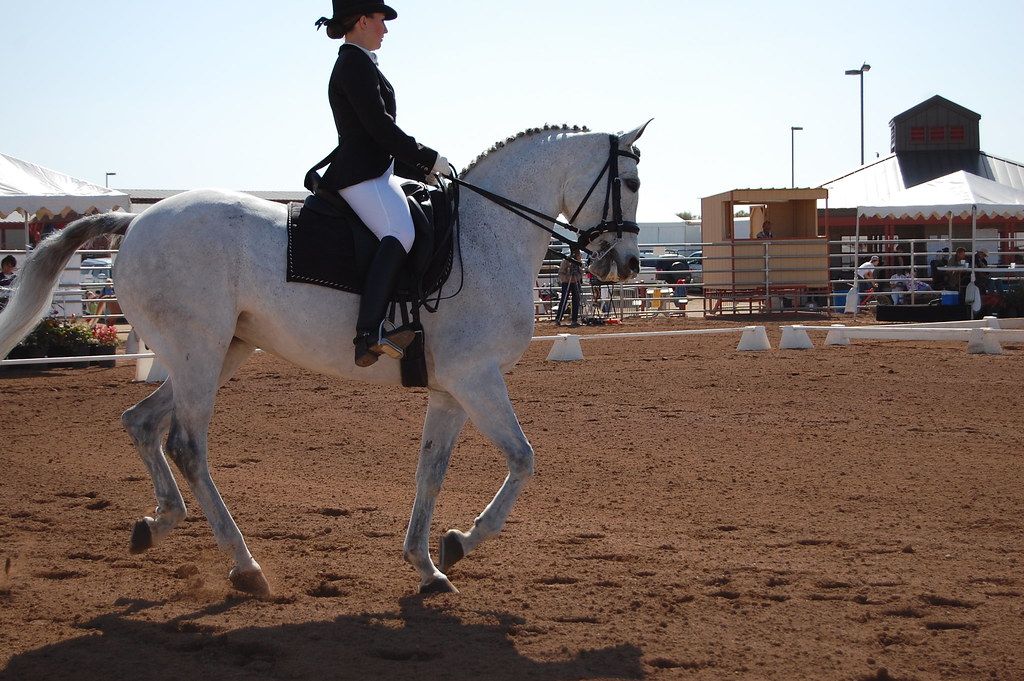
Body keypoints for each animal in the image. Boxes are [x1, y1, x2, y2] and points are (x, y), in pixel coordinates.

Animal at [0, 122, 648, 596]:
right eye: (634, 181)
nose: (627, 265)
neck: (486, 235)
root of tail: (136, 218)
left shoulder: (450, 388)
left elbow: (431, 471)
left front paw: (428, 564)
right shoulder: (477, 378)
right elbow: (523, 458)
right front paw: (463, 541)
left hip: (217, 353)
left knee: (141, 423)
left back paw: (157, 524)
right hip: (197, 352)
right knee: (185, 445)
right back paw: (245, 566)